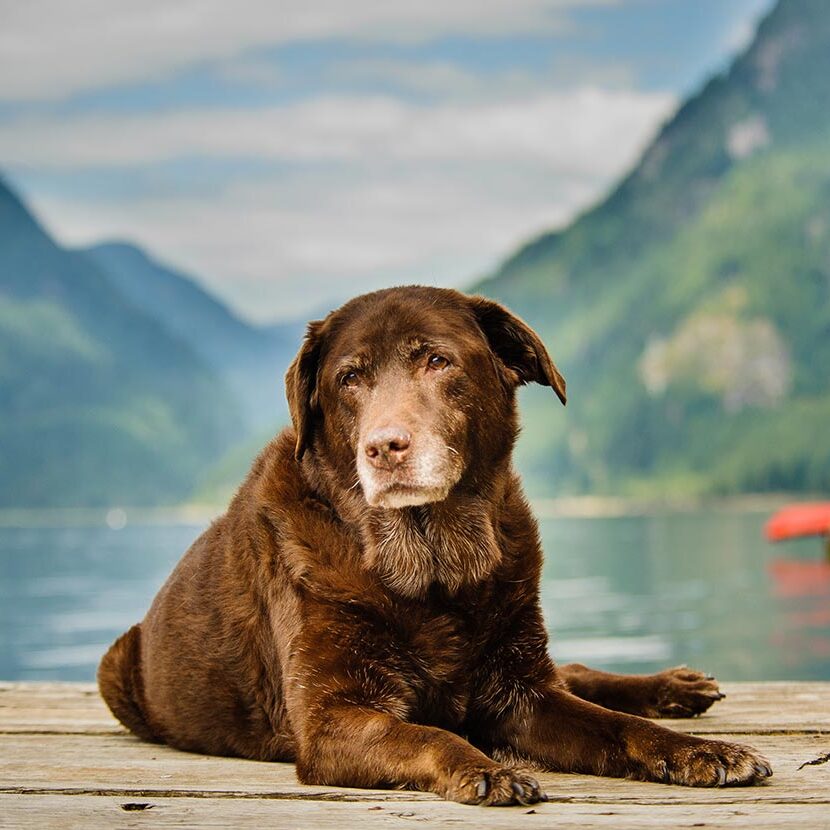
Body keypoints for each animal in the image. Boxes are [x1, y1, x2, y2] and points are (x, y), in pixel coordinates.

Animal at [101, 288, 776, 808]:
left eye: (436, 360)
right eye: (349, 379)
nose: (384, 446)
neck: (432, 566)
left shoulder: (522, 694)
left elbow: (618, 727)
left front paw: (696, 752)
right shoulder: (333, 720)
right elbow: (432, 736)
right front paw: (485, 768)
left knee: (573, 673)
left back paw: (675, 688)